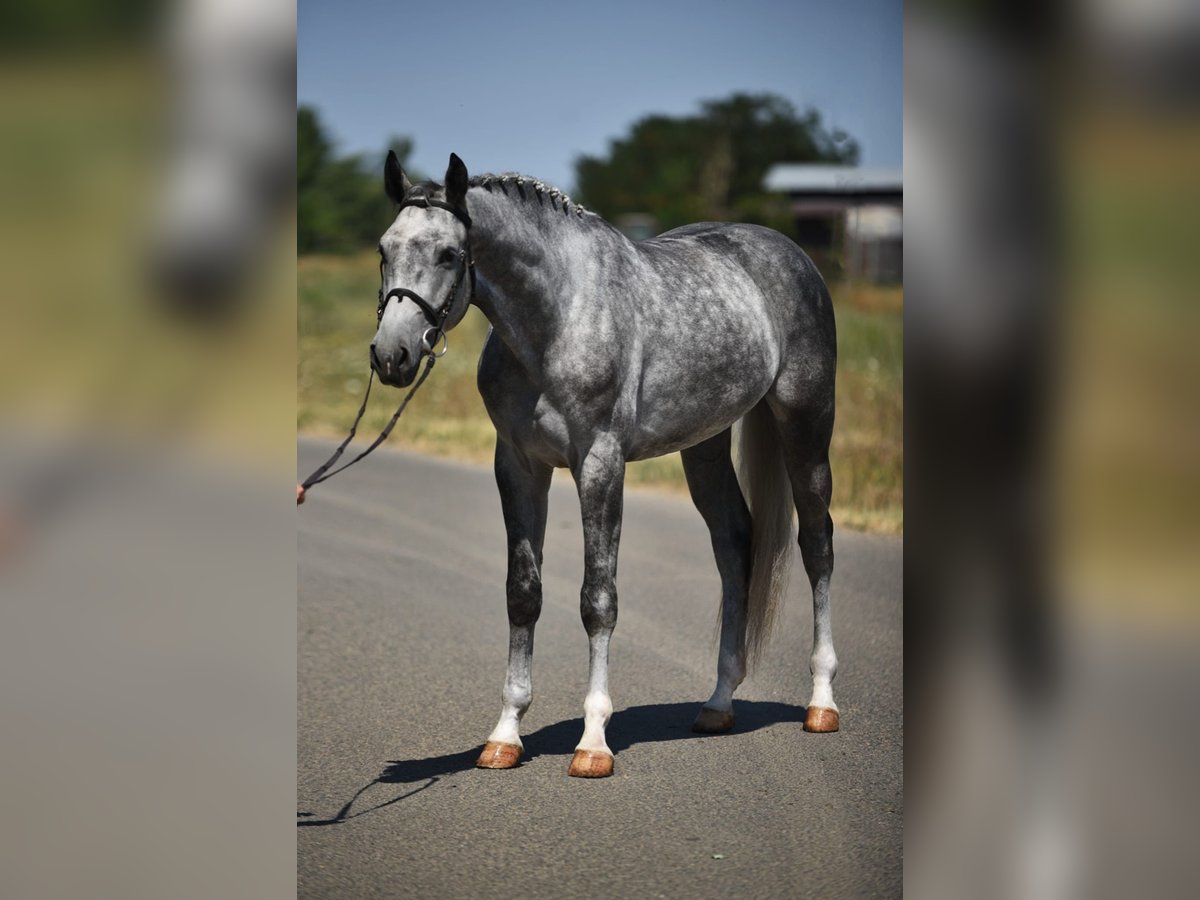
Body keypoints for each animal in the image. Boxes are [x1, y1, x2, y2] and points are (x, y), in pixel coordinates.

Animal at [372, 151, 835, 777]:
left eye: (448, 253)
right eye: (383, 249)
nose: (390, 356)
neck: (557, 319)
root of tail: (792, 254)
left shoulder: (599, 463)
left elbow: (598, 599)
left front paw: (593, 742)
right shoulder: (518, 466)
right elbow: (523, 593)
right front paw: (505, 736)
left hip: (806, 424)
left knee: (817, 544)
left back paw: (822, 703)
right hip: (705, 443)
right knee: (735, 543)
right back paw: (717, 704)